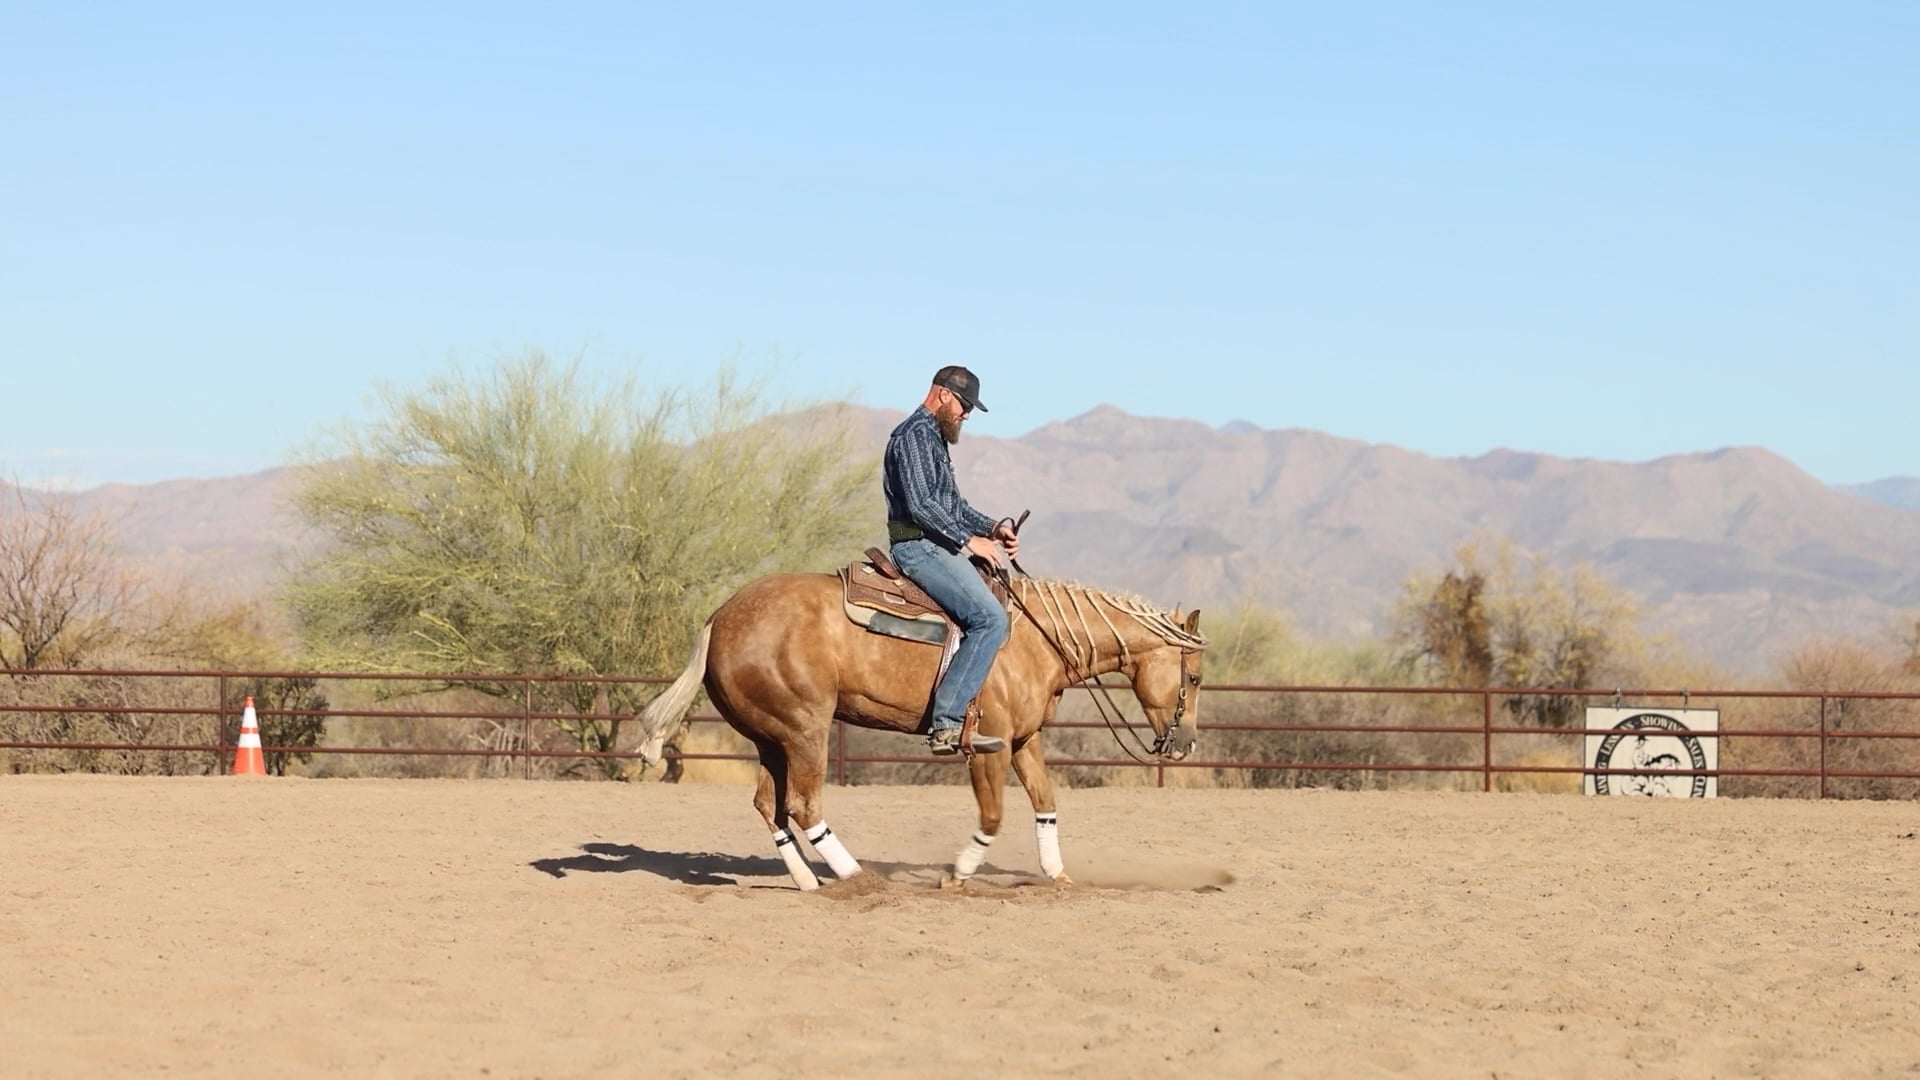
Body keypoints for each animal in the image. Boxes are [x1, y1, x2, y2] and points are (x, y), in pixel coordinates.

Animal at [633, 556, 1208, 890]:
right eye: (1196, 677)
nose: (1186, 744)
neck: (1036, 638)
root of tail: (720, 616)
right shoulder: (990, 746)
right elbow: (993, 816)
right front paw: (960, 872)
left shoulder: (1025, 740)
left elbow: (1045, 804)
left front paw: (1056, 874)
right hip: (805, 729)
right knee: (802, 804)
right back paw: (857, 877)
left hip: (771, 737)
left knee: (768, 805)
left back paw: (809, 881)